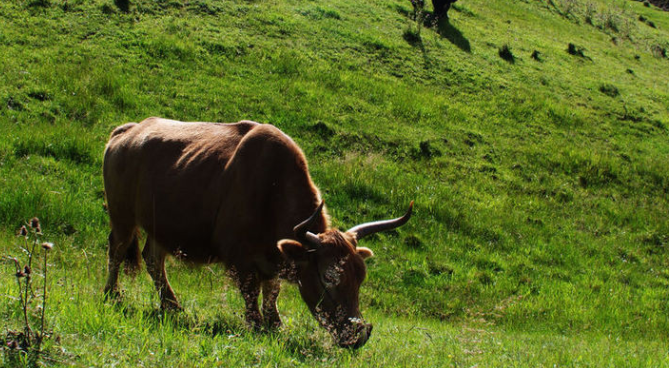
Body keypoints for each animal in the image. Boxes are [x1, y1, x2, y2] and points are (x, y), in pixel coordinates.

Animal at [102, 118, 412, 348]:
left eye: (360, 277)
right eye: (328, 277)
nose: (358, 335)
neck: (271, 190)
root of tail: (126, 131)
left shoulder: (274, 259)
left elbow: (272, 291)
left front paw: (275, 324)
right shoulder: (241, 259)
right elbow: (251, 292)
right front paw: (257, 325)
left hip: (161, 228)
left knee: (154, 260)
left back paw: (172, 306)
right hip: (122, 215)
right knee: (116, 250)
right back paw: (112, 295)